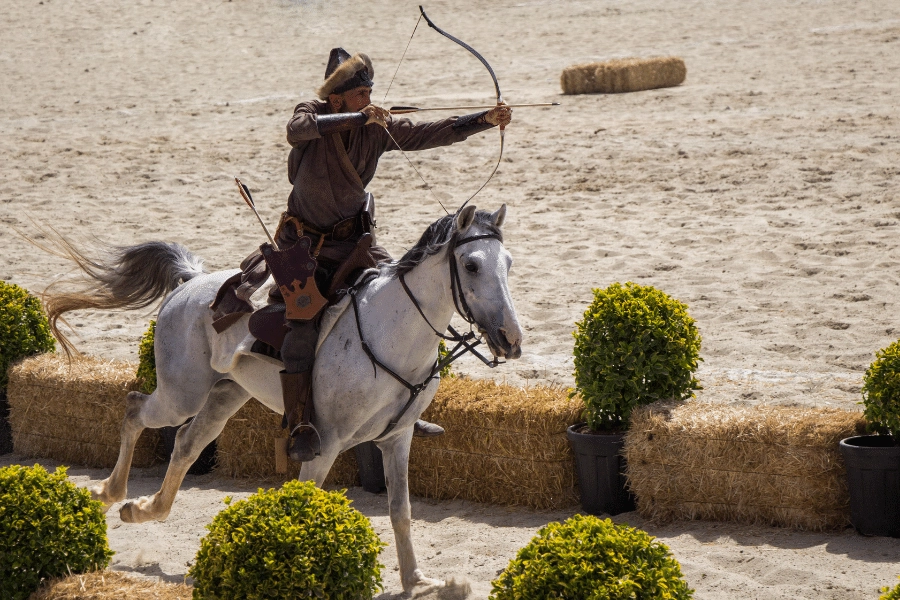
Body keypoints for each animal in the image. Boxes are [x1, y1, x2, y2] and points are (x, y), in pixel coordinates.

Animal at [44, 205, 520, 592]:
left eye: (509, 263)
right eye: (472, 265)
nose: (510, 339)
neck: (393, 332)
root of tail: (191, 282)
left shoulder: (396, 439)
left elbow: (400, 510)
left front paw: (417, 580)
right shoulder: (325, 445)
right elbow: (306, 501)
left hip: (226, 393)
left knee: (185, 443)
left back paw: (143, 508)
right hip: (182, 394)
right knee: (134, 408)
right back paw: (110, 491)